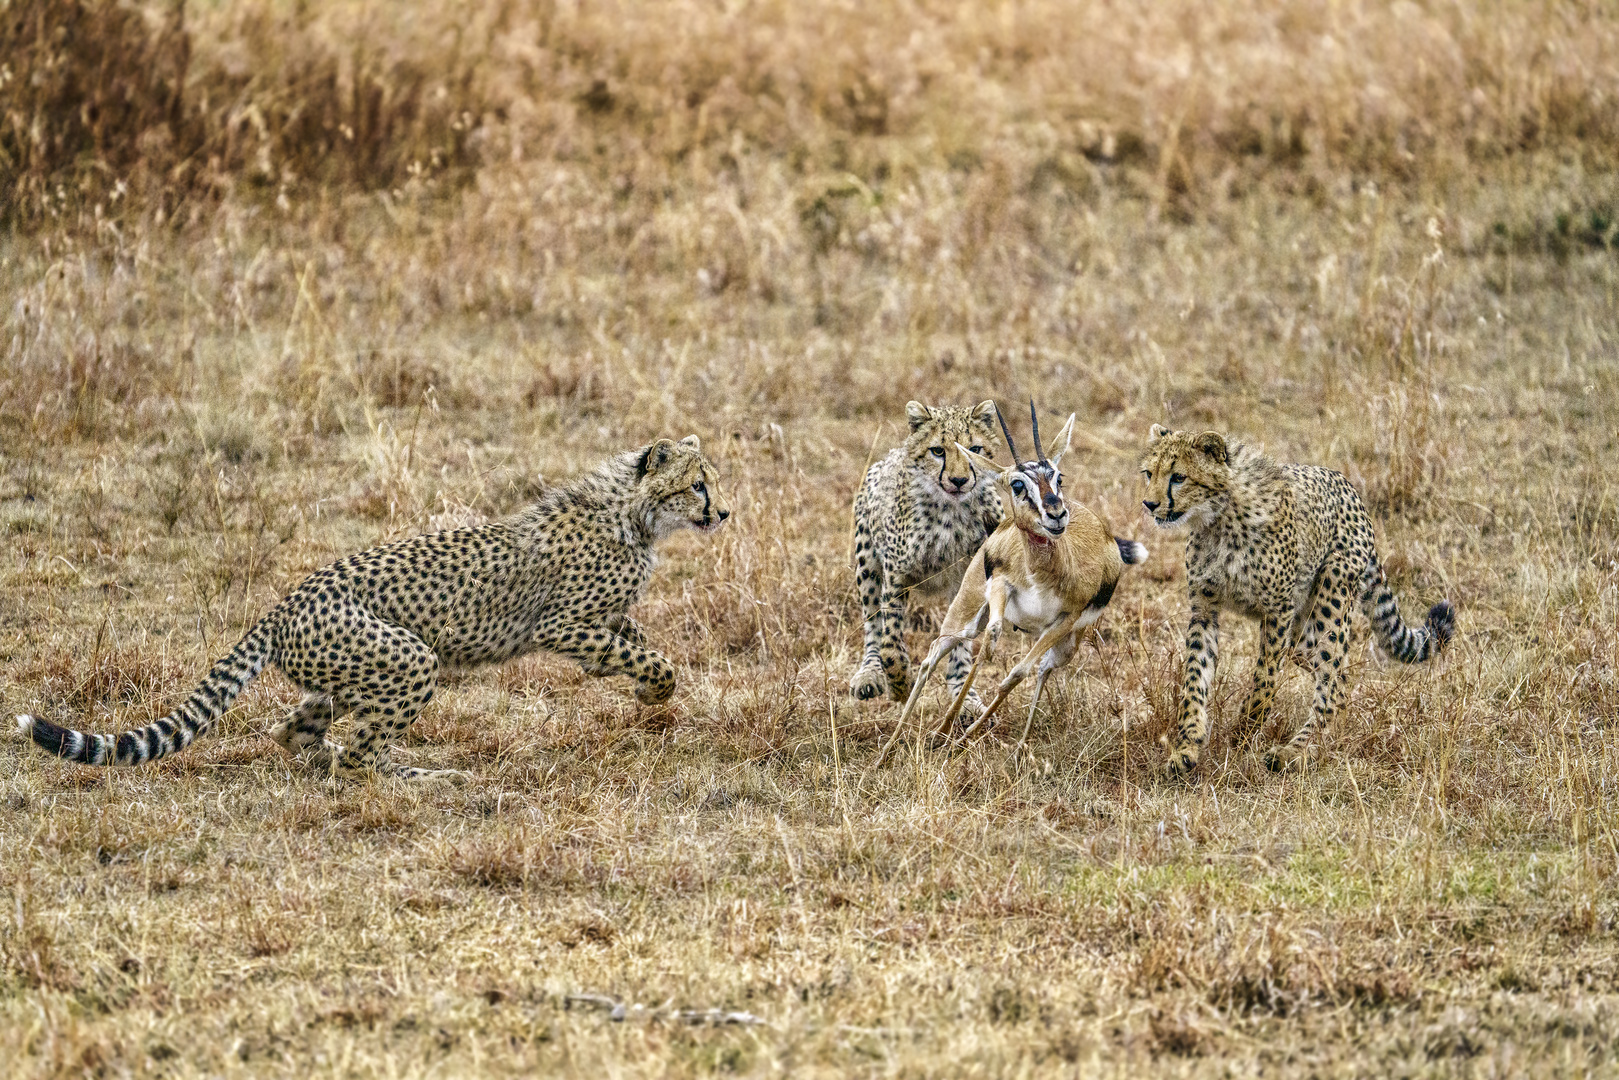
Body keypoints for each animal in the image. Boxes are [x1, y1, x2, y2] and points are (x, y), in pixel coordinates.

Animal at [15, 433, 728, 780]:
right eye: (698, 484)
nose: (723, 513)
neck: (634, 514)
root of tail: (282, 604)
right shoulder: (562, 624)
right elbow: (653, 659)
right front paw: (654, 690)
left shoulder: (601, 620)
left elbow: (636, 641)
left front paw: (640, 685)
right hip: (410, 657)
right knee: (355, 759)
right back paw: (417, 776)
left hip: (351, 671)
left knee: (299, 732)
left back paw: (338, 756)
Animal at [854, 401, 1003, 712]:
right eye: (938, 451)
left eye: (975, 449)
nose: (958, 480)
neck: (949, 512)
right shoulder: (895, 577)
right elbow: (889, 642)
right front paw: (900, 685)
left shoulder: (972, 579)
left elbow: (958, 643)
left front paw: (963, 695)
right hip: (867, 564)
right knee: (872, 625)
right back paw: (870, 674)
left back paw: (964, 699)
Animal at [1139, 427, 1457, 780]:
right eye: (1150, 473)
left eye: (1179, 477)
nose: (1150, 503)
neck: (1219, 518)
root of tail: (1347, 485)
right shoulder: (1204, 610)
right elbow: (1195, 679)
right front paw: (1186, 748)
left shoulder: (1278, 611)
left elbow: (1264, 681)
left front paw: (1242, 733)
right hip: (1302, 636)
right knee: (1340, 679)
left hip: (1332, 598)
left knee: (1331, 681)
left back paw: (1296, 751)